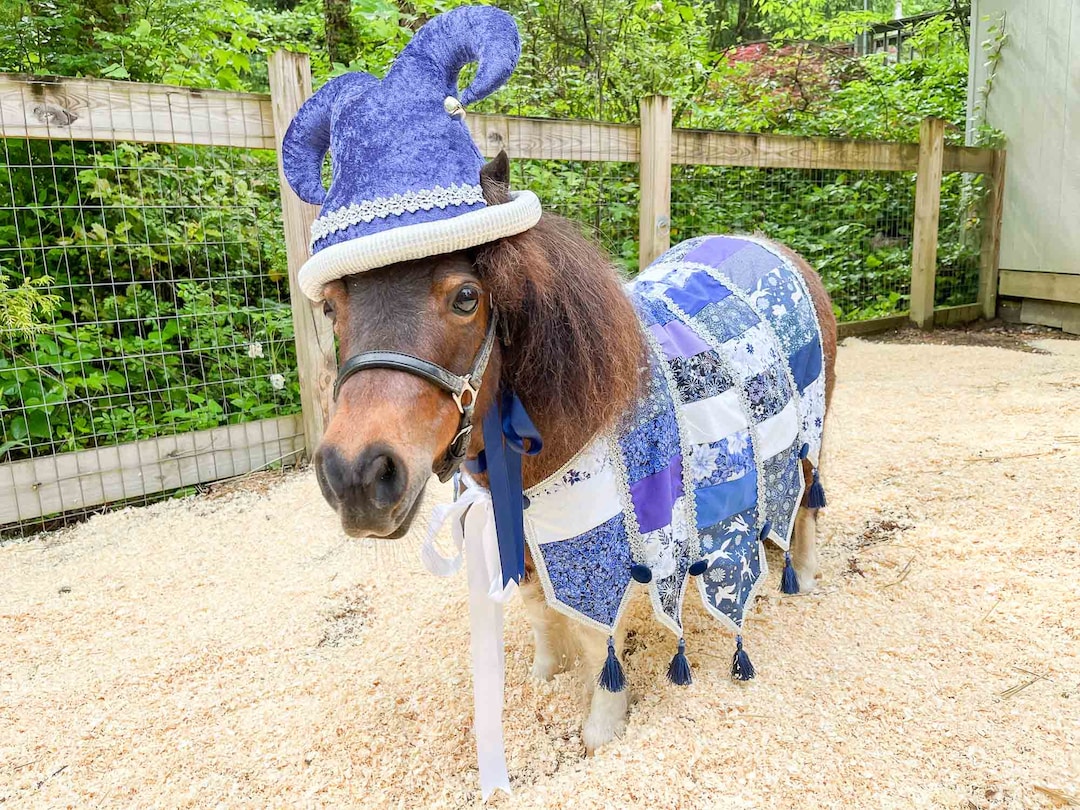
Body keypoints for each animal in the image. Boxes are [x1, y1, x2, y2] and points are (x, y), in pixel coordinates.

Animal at [312, 150, 837, 753]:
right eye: (331, 308)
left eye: (466, 297)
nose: (356, 475)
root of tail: (770, 247)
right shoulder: (516, 530)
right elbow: (538, 608)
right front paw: (546, 671)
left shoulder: (594, 542)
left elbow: (594, 634)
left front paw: (603, 724)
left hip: (812, 429)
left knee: (808, 499)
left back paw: (803, 574)